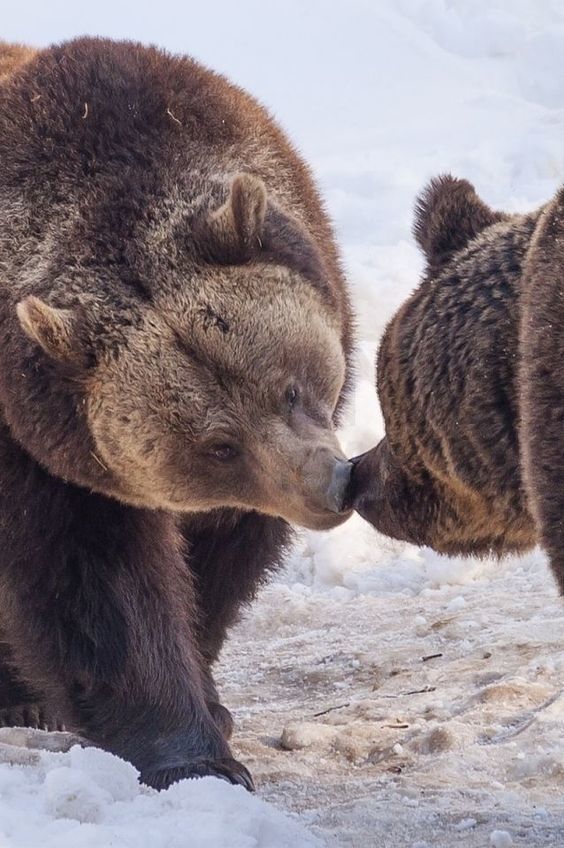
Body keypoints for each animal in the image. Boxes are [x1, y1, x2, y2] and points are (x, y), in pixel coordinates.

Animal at [0, 39, 354, 792]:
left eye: (287, 386)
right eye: (218, 443)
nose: (330, 485)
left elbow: (222, 556)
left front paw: (212, 706)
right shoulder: (33, 442)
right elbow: (97, 585)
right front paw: (196, 757)